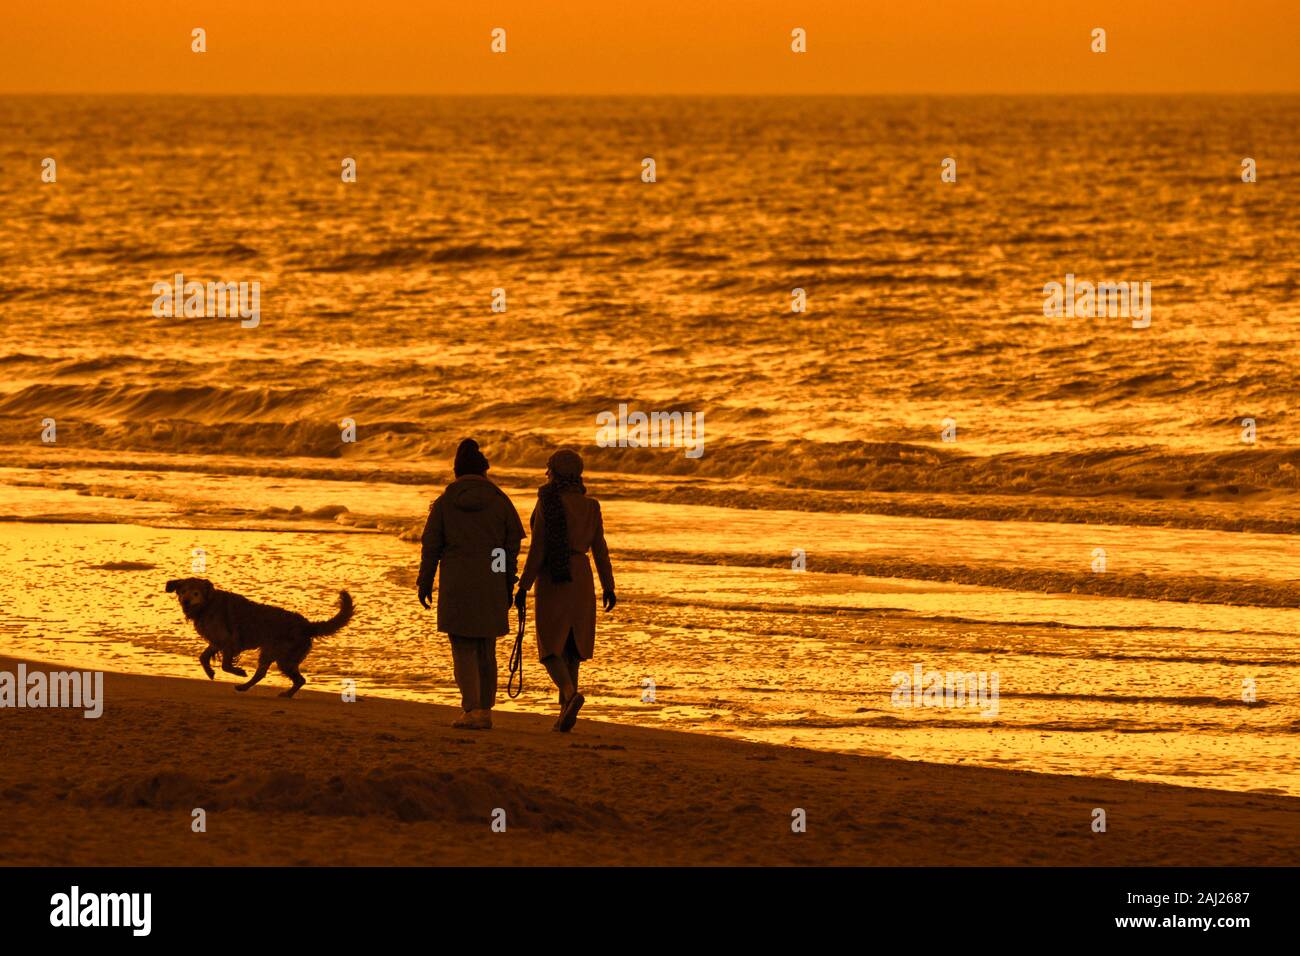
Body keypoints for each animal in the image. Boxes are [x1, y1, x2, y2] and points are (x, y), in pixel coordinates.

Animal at [166, 580, 356, 697]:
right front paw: (209, 672)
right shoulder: (217, 641)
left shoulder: (229, 641)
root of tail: (307, 625)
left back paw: (281, 693)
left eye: (195, 593)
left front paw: (238, 671)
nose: (185, 601)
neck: (208, 605)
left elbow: (225, 664)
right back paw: (246, 687)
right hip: (272, 653)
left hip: (283, 657)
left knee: (297, 679)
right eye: (182, 591)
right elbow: (203, 657)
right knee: (267, 674)